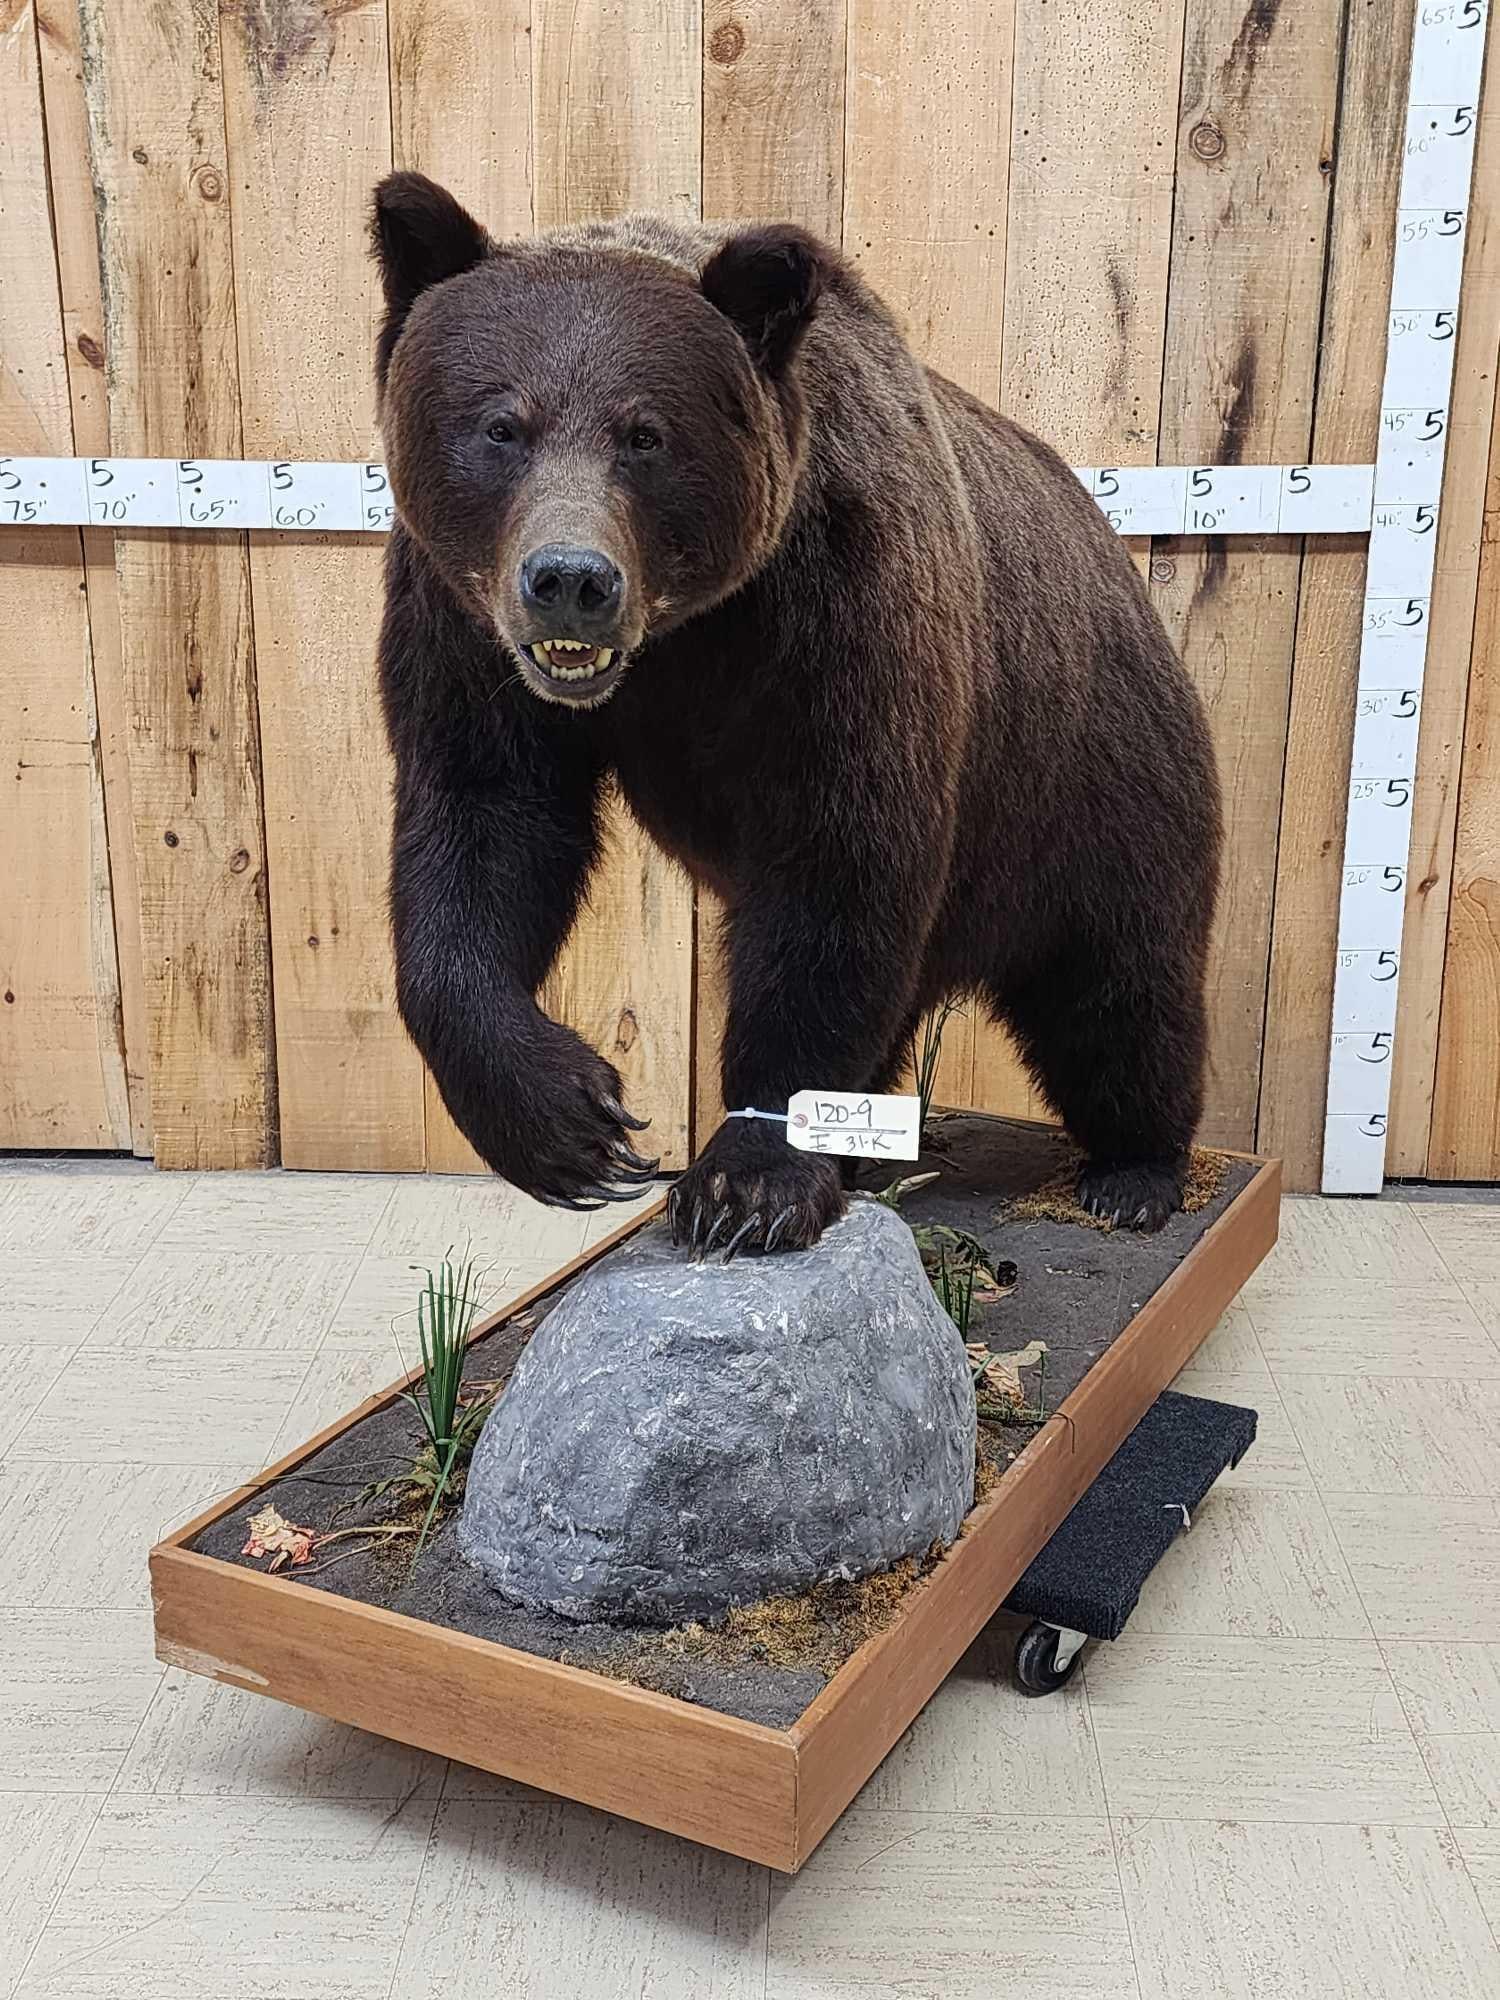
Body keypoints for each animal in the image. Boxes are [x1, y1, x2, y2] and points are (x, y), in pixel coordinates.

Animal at [371, 172, 1222, 1256]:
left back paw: (1134, 1173)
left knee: (1121, 998)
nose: (570, 581)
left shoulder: (844, 620)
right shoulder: (464, 630)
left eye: (645, 433)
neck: (686, 637)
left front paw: (746, 1183)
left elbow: (833, 875)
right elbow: (483, 826)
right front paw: (569, 1125)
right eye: (500, 425)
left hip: (1095, 789)